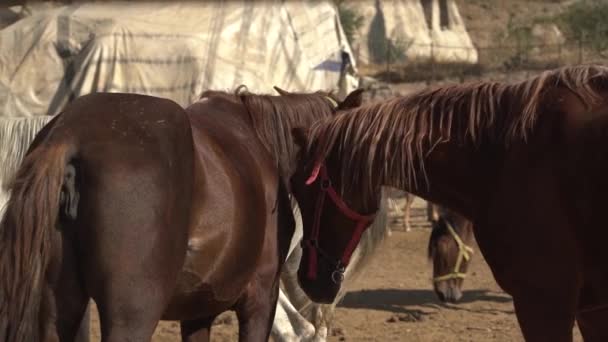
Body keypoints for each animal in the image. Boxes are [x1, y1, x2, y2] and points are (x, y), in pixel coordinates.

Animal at [0, 89, 366, 342]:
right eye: (343, 178)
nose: (325, 285)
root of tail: (70, 135)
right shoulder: (261, 298)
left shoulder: (198, 311)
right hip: (131, 316)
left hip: (59, 307)